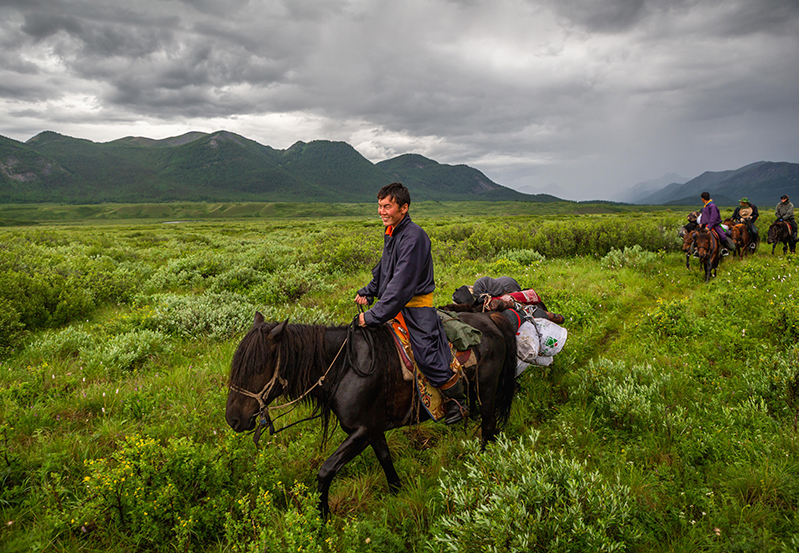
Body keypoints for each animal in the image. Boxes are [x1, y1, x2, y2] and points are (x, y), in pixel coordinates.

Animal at [223, 310, 520, 516]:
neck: (344, 367)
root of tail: (490, 319)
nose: (233, 419)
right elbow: (385, 458)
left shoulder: (361, 432)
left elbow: (326, 470)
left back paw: (480, 466)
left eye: (256, 368)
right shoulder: (373, 428)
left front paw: (323, 517)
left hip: (488, 393)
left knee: (488, 429)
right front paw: (396, 491)